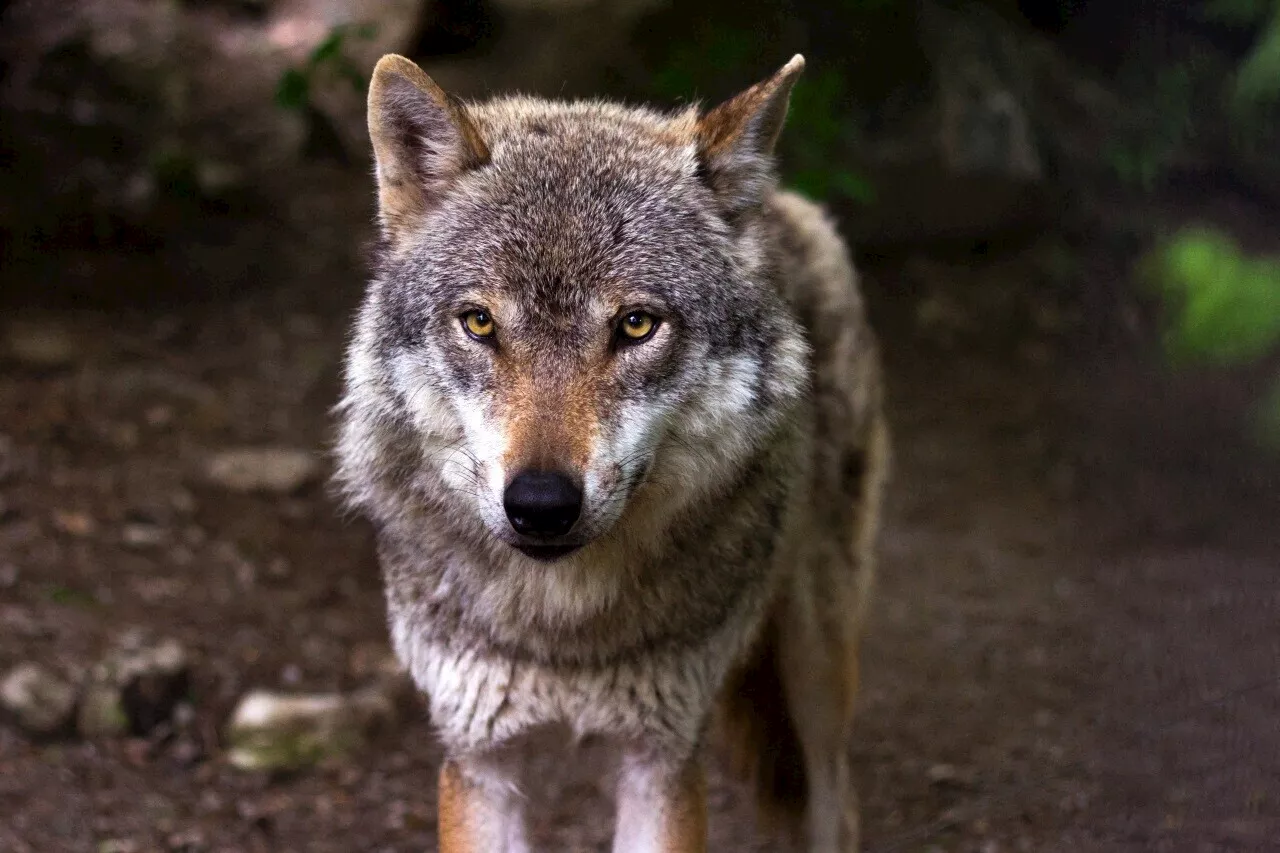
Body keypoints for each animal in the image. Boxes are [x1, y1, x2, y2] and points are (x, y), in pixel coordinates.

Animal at [332, 54, 890, 850]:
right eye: (479, 322)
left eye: (635, 325)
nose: (540, 505)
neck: (563, 629)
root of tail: (780, 202)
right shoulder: (479, 758)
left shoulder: (661, 759)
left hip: (816, 669)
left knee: (835, 802)